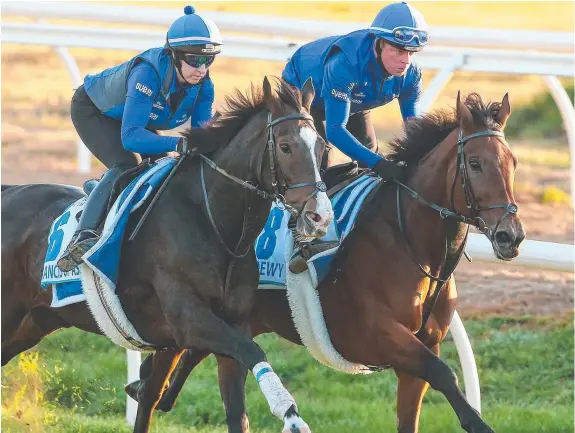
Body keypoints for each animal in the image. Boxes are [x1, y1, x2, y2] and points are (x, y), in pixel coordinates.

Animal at [3, 77, 338, 432]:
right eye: (286, 146)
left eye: (322, 148)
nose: (320, 217)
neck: (213, 223)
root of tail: (8, 191)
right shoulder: (189, 319)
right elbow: (253, 351)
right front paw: (289, 414)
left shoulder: (218, 329)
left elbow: (232, 409)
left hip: (35, 321)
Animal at [136, 92, 528, 432]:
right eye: (475, 164)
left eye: (513, 162)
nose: (511, 235)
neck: (412, 245)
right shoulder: (381, 335)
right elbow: (445, 373)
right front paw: (478, 423)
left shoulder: (422, 347)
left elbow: (415, 407)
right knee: (165, 373)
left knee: (188, 359)